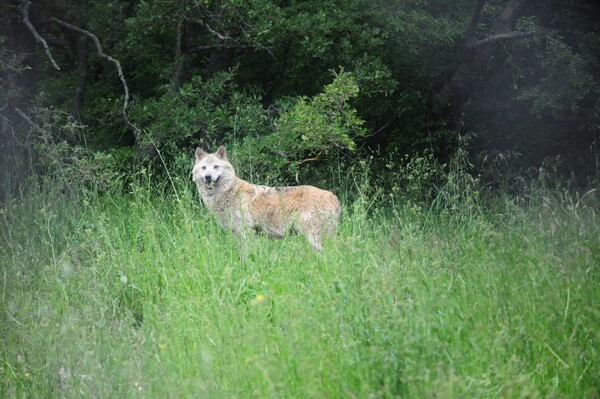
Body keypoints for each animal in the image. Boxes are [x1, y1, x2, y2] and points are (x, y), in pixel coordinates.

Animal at [193, 147, 342, 252]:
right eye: (204, 167)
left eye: (216, 167)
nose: (207, 177)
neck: (229, 193)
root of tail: (333, 196)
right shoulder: (237, 233)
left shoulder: (246, 232)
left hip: (314, 237)